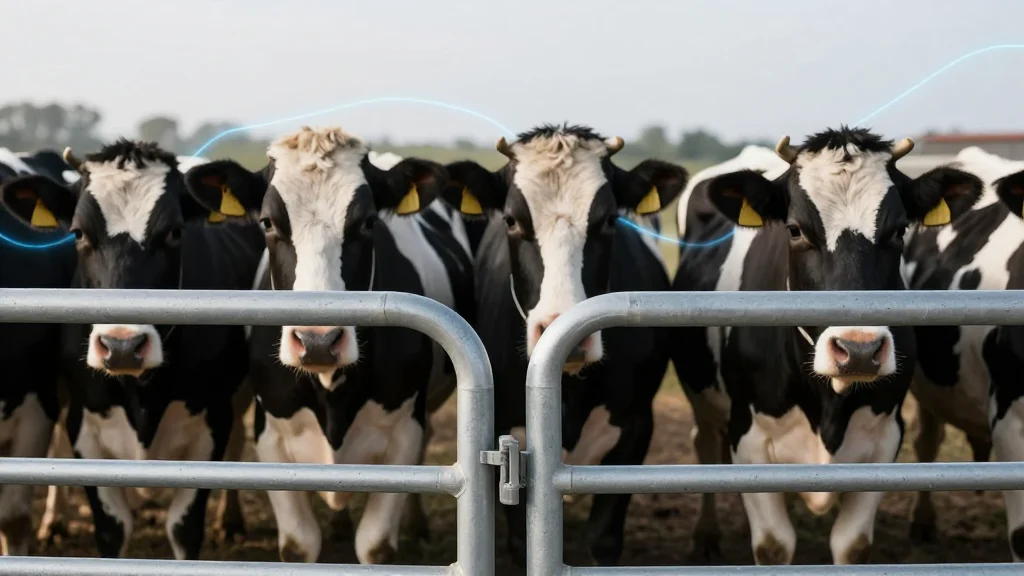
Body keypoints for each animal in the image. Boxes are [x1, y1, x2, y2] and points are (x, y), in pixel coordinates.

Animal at [0, 139, 265, 560]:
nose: (121, 346)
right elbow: (112, 529)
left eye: (174, 232)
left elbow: (185, 529)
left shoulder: (211, 426)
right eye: (78, 233)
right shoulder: (85, 431)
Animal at [179, 126, 475, 564]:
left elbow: (376, 545)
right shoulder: (272, 437)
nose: (317, 341)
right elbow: (299, 544)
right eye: (267, 222)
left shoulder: (404, 434)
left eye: (368, 223)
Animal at [438, 123, 687, 566]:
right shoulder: (505, 433)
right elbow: (519, 540)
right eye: (512, 219)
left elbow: (604, 537)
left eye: (609, 220)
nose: (562, 331)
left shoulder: (637, 426)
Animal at [670, 126, 984, 565]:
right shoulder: (747, 440)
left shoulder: (884, 440)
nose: (859, 350)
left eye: (899, 230)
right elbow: (773, 545)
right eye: (795, 229)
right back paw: (705, 535)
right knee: (703, 444)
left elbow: (852, 545)